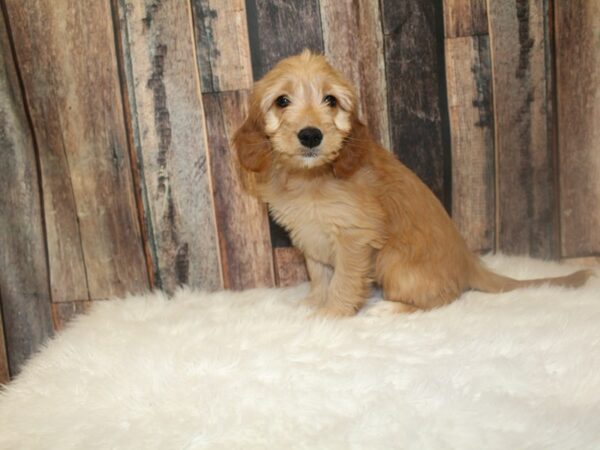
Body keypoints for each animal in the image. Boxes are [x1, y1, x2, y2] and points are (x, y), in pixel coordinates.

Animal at [232, 50, 592, 316]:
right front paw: (313, 303)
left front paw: (331, 315)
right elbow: (320, 276)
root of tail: (468, 263)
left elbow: (344, 281)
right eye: (282, 101)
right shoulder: (310, 236)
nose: (310, 135)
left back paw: (391, 308)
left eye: (331, 100)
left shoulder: (354, 237)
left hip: (394, 263)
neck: (310, 177)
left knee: (445, 298)